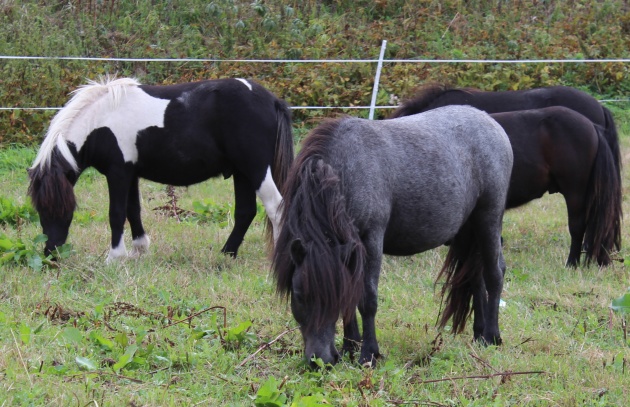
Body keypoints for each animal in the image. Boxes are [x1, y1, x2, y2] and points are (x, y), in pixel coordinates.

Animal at [28, 76, 296, 262]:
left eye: (61, 207)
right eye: (40, 208)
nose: (51, 253)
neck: (100, 120)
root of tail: (272, 100)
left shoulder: (118, 172)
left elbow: (116, 214)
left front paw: (114, 257)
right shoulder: (130, 173)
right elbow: (133, 210)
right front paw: (139, 250)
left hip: (256, 169)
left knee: (276, 208)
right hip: (242, 172)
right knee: (245, 212)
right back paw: (226, 254)